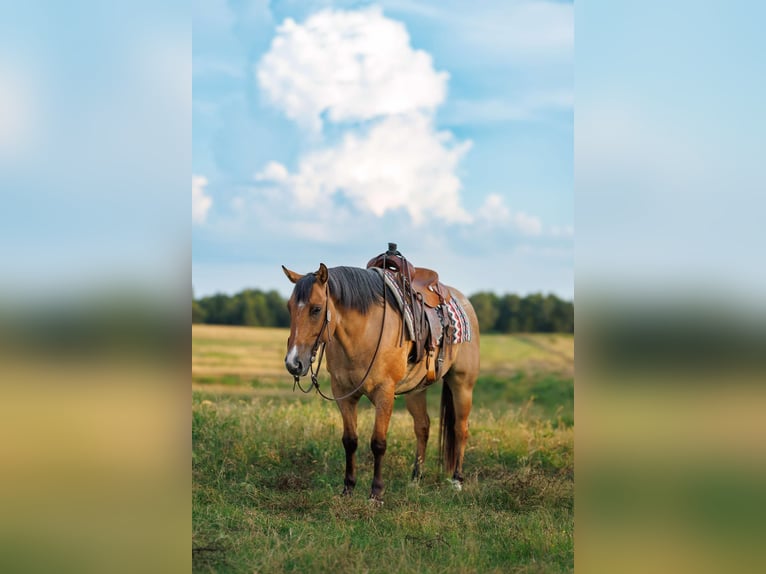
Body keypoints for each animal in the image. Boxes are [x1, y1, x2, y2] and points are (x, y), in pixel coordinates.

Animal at [281, 261, 480, 502]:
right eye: (290, 307)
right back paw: (415, 479)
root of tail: (463, 301)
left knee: (460, 428)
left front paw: (376, 493)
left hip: (462, 384)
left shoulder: (384, 392)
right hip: (416, 390)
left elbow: (378, 443)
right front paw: (348, 488)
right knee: (422, 427)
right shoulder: (344, 394)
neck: (363, 332)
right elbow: (350, 440)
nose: (293, 363)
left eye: (316, 309)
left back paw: (457, 480)